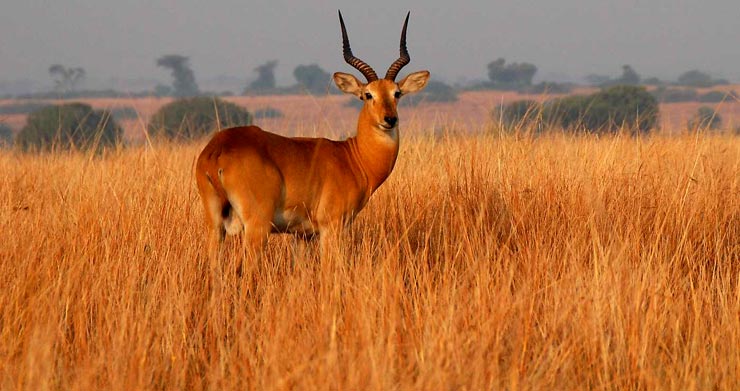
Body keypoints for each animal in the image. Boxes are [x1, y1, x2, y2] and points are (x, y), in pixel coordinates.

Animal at [194, 10, 430, 256]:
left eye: (397, 93)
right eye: (368, 94)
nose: (390, 119)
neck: (352, 157)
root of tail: (218, 149)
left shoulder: (301, 235)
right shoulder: (331, 227)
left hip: (215, 227)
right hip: (257, 227)